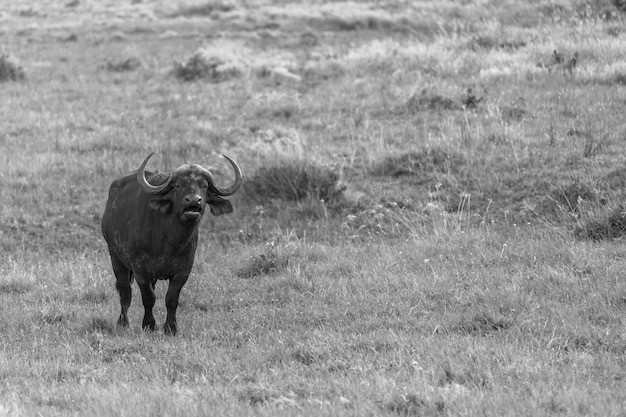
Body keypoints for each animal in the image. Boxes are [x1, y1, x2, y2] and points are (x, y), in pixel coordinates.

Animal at [101, 153, 240, 334]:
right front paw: (149, 325)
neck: (169, 242)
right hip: (116, 257)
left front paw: (171, 328)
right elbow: (148, 297)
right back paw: (123, 323)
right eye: (178, 185)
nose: (193, 201)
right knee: (124, 291)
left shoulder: (184, 270)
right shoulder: (140, 269)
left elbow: (171, 299)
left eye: (204, 186)